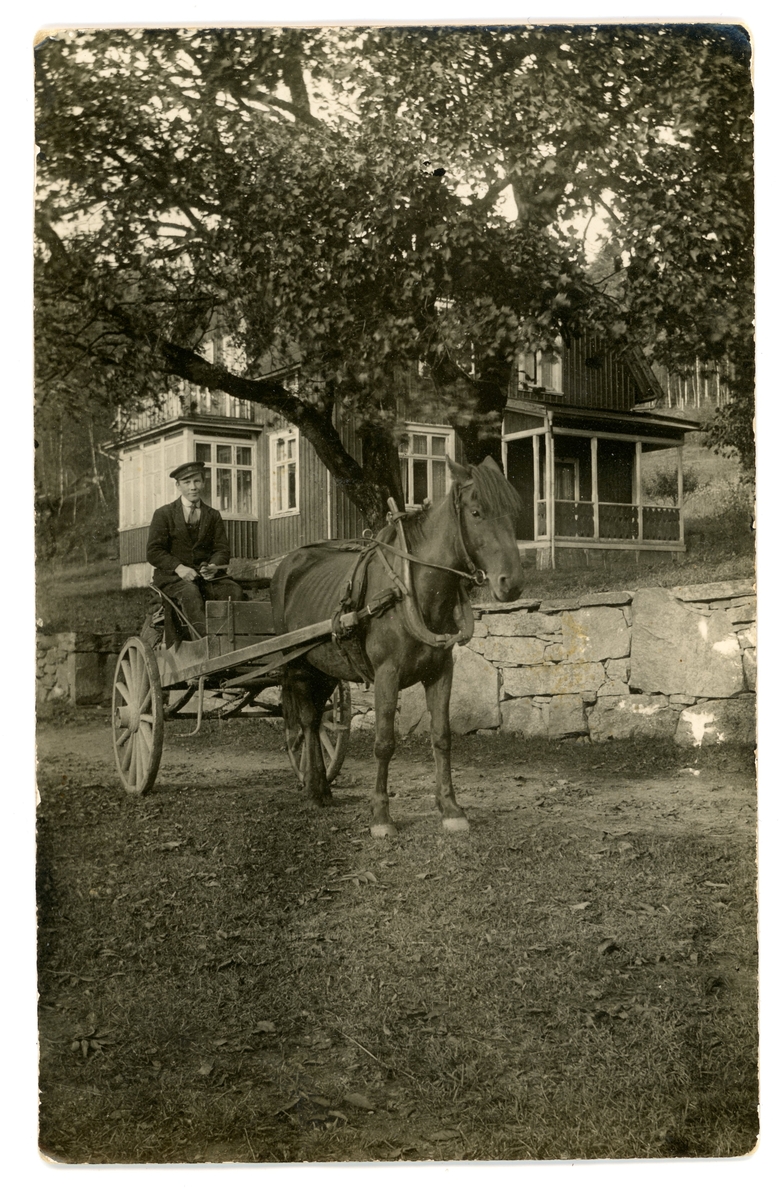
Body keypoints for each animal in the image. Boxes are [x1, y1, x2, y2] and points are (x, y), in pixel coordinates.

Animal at [272, 453, 523, 840]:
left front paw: (450, 808)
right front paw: (380, 815)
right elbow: (384, 743)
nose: (511, 583)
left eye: (515, 511)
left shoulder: (441, 672)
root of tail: (287, 564)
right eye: (477, 512)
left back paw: (322, 788)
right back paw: (314, 789)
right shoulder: (386, 675)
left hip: (325, 667)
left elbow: (442, 737)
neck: (410, 590)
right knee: (306, 721)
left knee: (314, 720)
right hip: (297, 664)